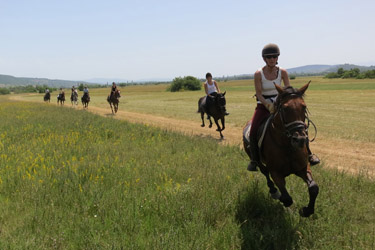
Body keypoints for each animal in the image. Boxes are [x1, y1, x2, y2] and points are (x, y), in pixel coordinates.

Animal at [244, 82, 320, 217]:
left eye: (304, 107)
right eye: (285, 108)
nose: (299, 139)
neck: (287, 146)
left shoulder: (303, 168)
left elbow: (313, 187)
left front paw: (306, 211)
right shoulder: (276, 173)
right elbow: (287, 198)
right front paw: (282, 199)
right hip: (257, 160)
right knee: (264, 172)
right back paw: (273, 191)